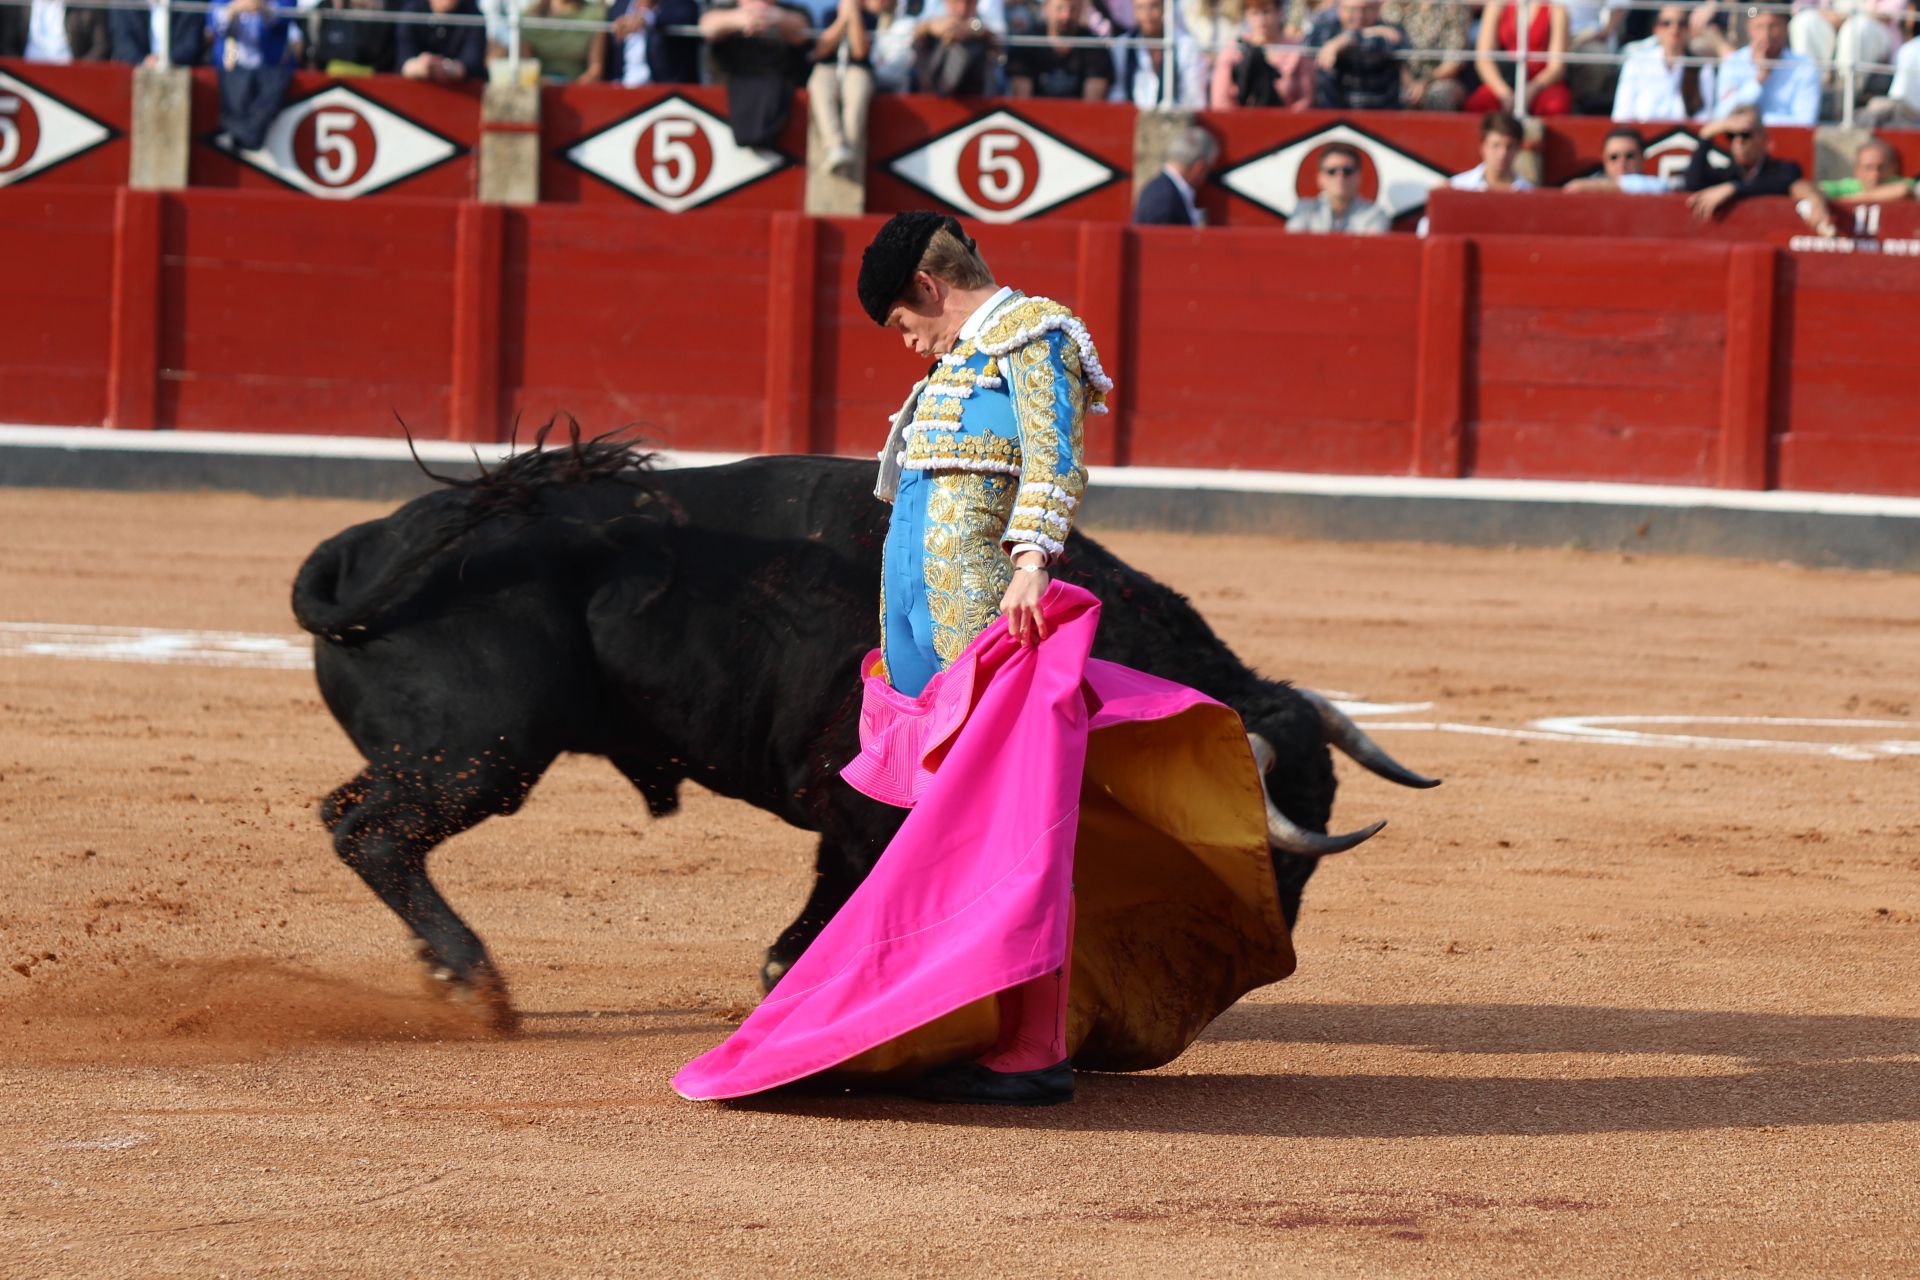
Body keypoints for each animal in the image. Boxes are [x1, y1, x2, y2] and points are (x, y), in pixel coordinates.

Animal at [295, 449, 1443, 1028]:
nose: (1270, 957)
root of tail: (362, 548)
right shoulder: (860, 802)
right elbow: (860, 889)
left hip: (455, 754)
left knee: (358, 821)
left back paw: (448, 976)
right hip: (481, 750)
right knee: (371, 830)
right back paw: (477, 984)